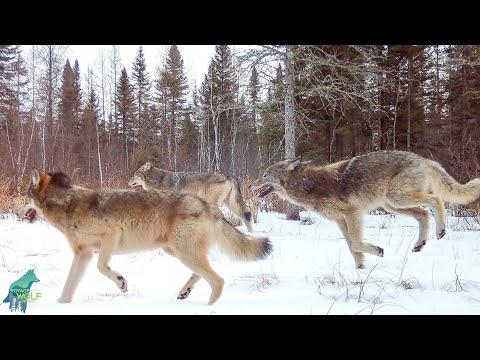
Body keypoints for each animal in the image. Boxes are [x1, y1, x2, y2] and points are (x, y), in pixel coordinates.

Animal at [18, 170, 272, 306]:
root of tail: (207, 206)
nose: (19, 213)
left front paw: (121, 282)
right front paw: (61, 305)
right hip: (178, 252)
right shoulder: (83, 254)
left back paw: (207, 306)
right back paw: (184, 292)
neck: (68, 204)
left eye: (25, 198)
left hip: (184, 253)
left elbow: (103, 268)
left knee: (218, 280)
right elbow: (69, 285)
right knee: (203, 274)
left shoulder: (110, 236)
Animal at [127, 162, 255, 232]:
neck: (157, 181)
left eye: (134, 176)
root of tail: (228, 176)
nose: (128, 183)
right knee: (246, 215)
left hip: (213, 203)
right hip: (229, 204)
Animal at [249, 150, 480, 268]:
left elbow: (357, 243)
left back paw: (440, 231)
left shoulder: (353, 213)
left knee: (436, 200)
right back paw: (419, 244)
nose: (250, 185)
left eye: (264, 175)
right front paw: (360, 270)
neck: (309, 186)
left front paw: (376, 252)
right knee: (423, 214)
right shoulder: (340, 220)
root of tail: (424, 159)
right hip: (392, 205)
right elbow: (352, 246)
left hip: (396, 198)